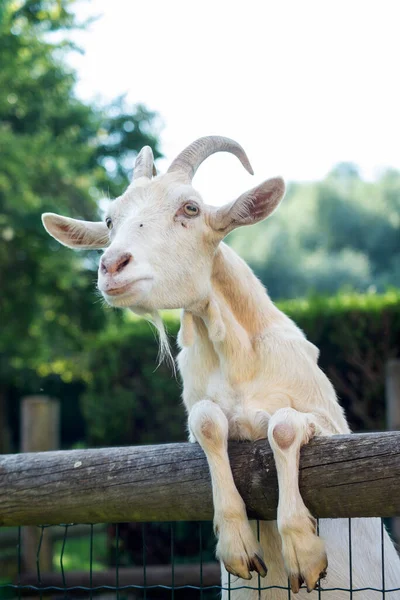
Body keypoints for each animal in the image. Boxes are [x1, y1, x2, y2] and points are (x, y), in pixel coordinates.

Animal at [42, 138, 400, 596]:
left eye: (191, 208)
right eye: (109, 219)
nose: (111, 266)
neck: (237, 358)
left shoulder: (330, 426)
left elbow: (283, 426)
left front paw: (303, 551)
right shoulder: (199, 417)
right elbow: (207, 420)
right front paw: (237, 546)